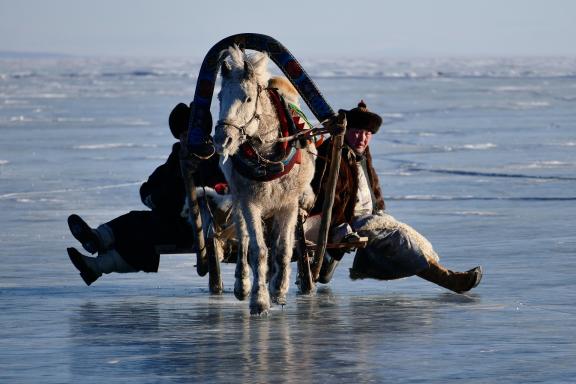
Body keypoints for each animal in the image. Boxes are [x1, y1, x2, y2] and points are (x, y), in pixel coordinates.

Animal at [215, 45, 318, 316]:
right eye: (219, 97)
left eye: (247, 98)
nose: (222, 139)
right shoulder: (250, 201)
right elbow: (257, 250)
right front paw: (259, 300)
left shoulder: (288, 203)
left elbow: (282, 249)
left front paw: (278, 290)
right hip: (238, 198)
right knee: (243, 238)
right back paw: (242, 284)